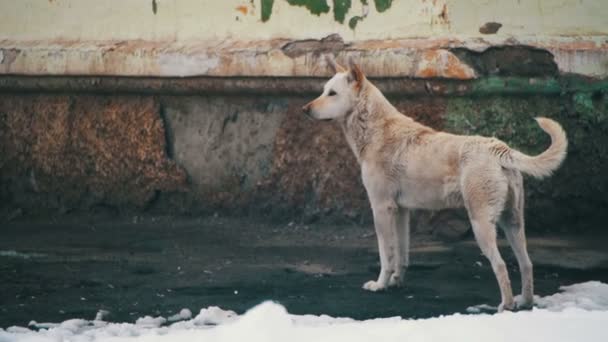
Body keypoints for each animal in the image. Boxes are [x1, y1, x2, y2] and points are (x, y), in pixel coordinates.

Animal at [304, 56, 568, 310]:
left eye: (332, 93)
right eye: (323, 90)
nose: (305, 109)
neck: (376, 129)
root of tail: (499, 149)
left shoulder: (381, 208)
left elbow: (386, 255)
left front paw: (380, 285)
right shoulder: (401, 211)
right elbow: (402, 254)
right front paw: (396, 282)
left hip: (481, 224)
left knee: (501, 265)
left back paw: (506, 305)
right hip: (512, 222)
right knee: (527, 264)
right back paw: (526, 302)